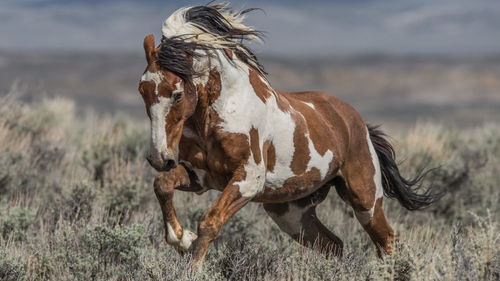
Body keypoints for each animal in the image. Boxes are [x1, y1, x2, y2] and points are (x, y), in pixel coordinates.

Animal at [138, 2, 442, 270]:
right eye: (142, 90)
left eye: (177, 93)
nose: (159, 158)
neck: (219, 112)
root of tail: (357, 122)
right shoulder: (202, 176)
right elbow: (162, 185)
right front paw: (181, 239)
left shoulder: (247, 180)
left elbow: (209, 222)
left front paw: (192, 264)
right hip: (291, 213)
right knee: (333, 245)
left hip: (365, 199)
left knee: (386, 241)